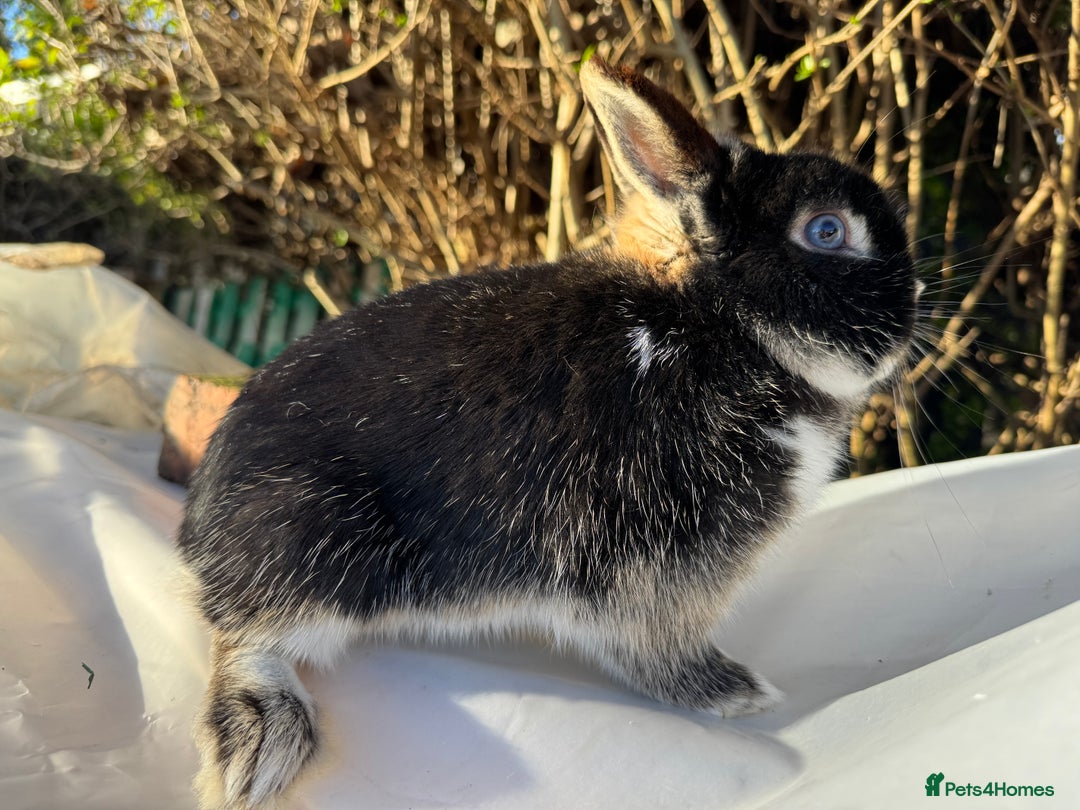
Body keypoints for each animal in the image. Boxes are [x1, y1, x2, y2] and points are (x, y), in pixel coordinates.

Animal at [177, 56, 918, 809]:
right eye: (827, 232)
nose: (912, 314)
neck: (716, 327)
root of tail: (201, 533)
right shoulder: (654, 561)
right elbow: (653, 647)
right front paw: (735, 694)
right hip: (318, 547)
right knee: (242, 637)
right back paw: (260, 744)